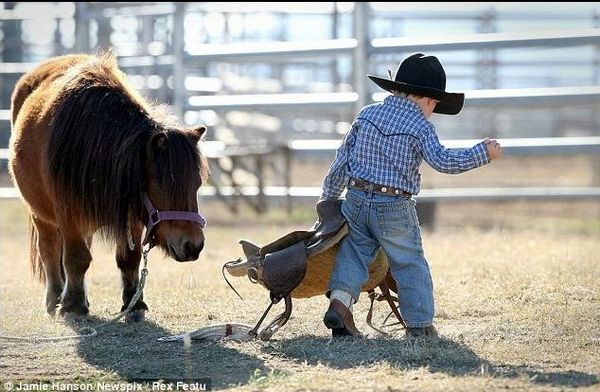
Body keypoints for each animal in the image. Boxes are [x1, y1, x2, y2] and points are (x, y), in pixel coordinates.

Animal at [8, 52, 210, 322]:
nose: (193, 245)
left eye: (197, 184)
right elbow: (76, 258)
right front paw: (72, 306)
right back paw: (55, 299)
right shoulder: (69, 213)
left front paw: (134, 304)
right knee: (49, 250)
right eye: (162, 185)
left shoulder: (133, 214)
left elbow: (129, 259)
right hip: (40, 213)